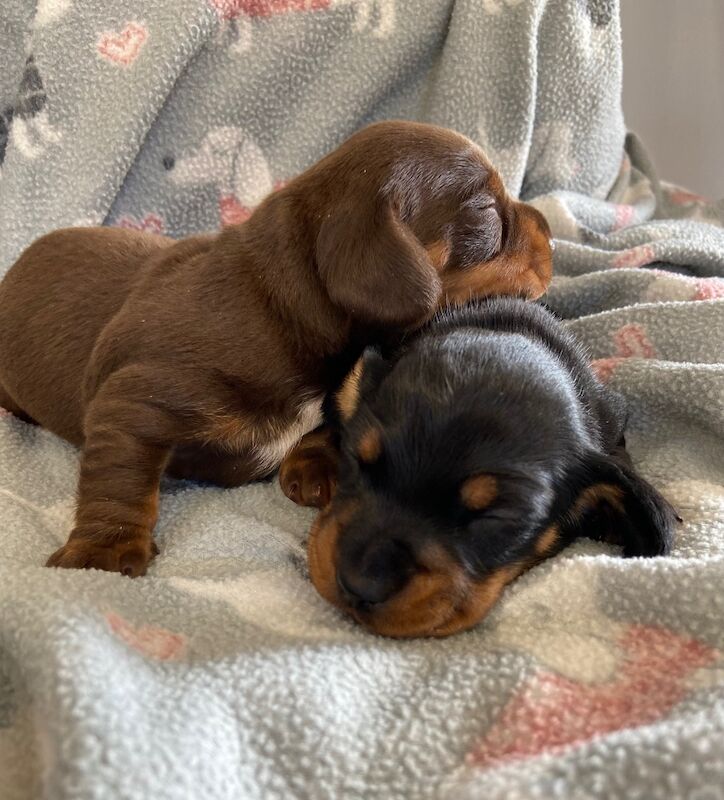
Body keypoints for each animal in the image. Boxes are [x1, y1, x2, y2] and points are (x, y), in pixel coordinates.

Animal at [0, 120, 552, 576]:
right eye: (486, 211)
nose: (549, 227)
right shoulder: (135, 398)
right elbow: (121, 476)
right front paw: (105, 552)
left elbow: (327, 423)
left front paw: (314, 467)